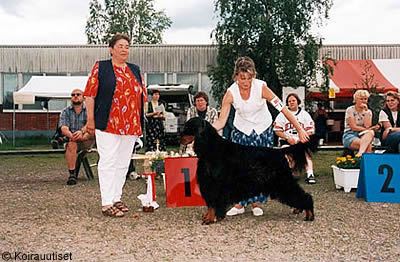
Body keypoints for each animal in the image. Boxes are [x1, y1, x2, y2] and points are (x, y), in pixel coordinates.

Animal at [181, 117, 318, 224]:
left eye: (188, 127)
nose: (179, 138)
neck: (210, 148)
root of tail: (279, 151)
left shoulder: (214, 184)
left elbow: (213, 203)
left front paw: (210, 219)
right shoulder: (209, 184)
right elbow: (210, 204)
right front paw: (209, 216)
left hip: (283, 182)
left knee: (305, 196)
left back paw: (309, 215)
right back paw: (299, 209)